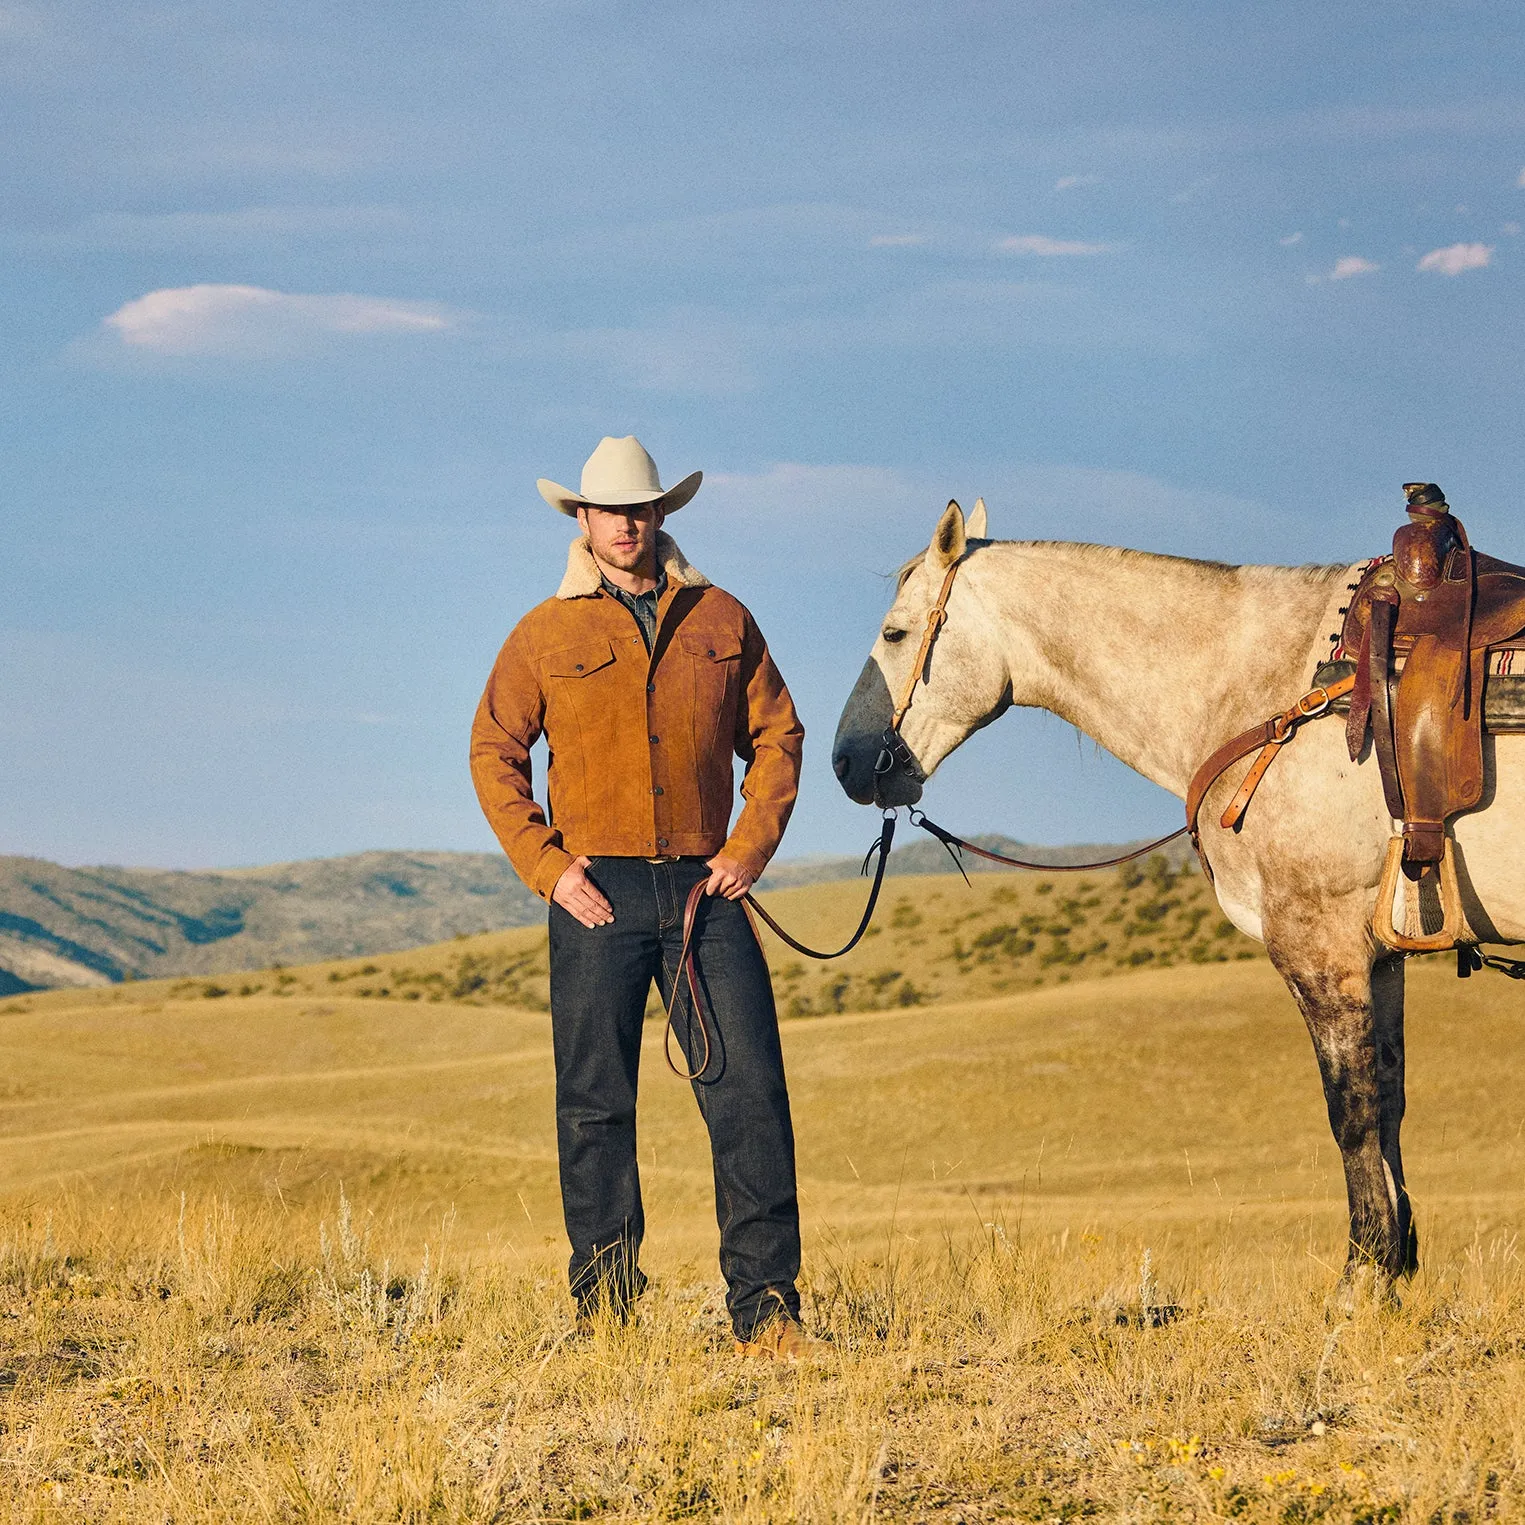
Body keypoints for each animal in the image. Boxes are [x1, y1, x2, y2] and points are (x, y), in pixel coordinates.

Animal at [835, 500, 1525, 1287]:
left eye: (894, 633)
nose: (845, 760)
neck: (1273, 681)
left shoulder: (1321, 946)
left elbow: (1350, 1110)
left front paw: (1364, 1274)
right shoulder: (1377, 955)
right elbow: (1389, 1105)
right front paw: (1394, 1266)